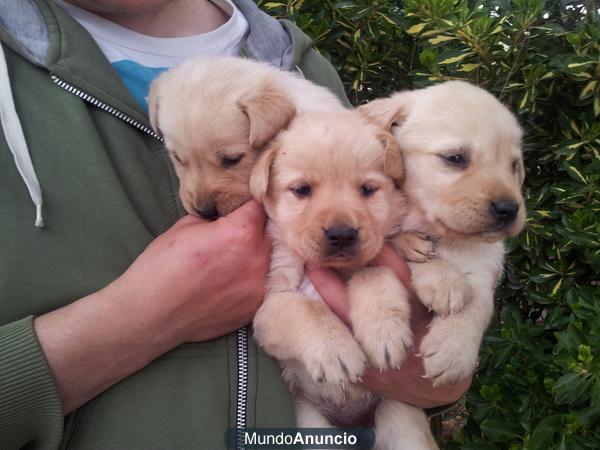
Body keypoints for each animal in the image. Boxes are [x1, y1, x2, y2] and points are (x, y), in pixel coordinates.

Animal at [250, 110, 440, 450]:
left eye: (367, 190)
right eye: (302, 190)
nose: (341, 235)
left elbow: (371, 271)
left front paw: (383, 332)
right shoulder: (270, 303)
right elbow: (304, 308)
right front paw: (336, 350)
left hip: (399, 417)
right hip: (312, 424)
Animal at [360, 80, 524, 386]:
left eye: (514, 165)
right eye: (456, 158)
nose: (509, 209)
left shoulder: (485, 266)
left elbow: (479, 303)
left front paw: (452, 349)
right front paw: (441, 276)